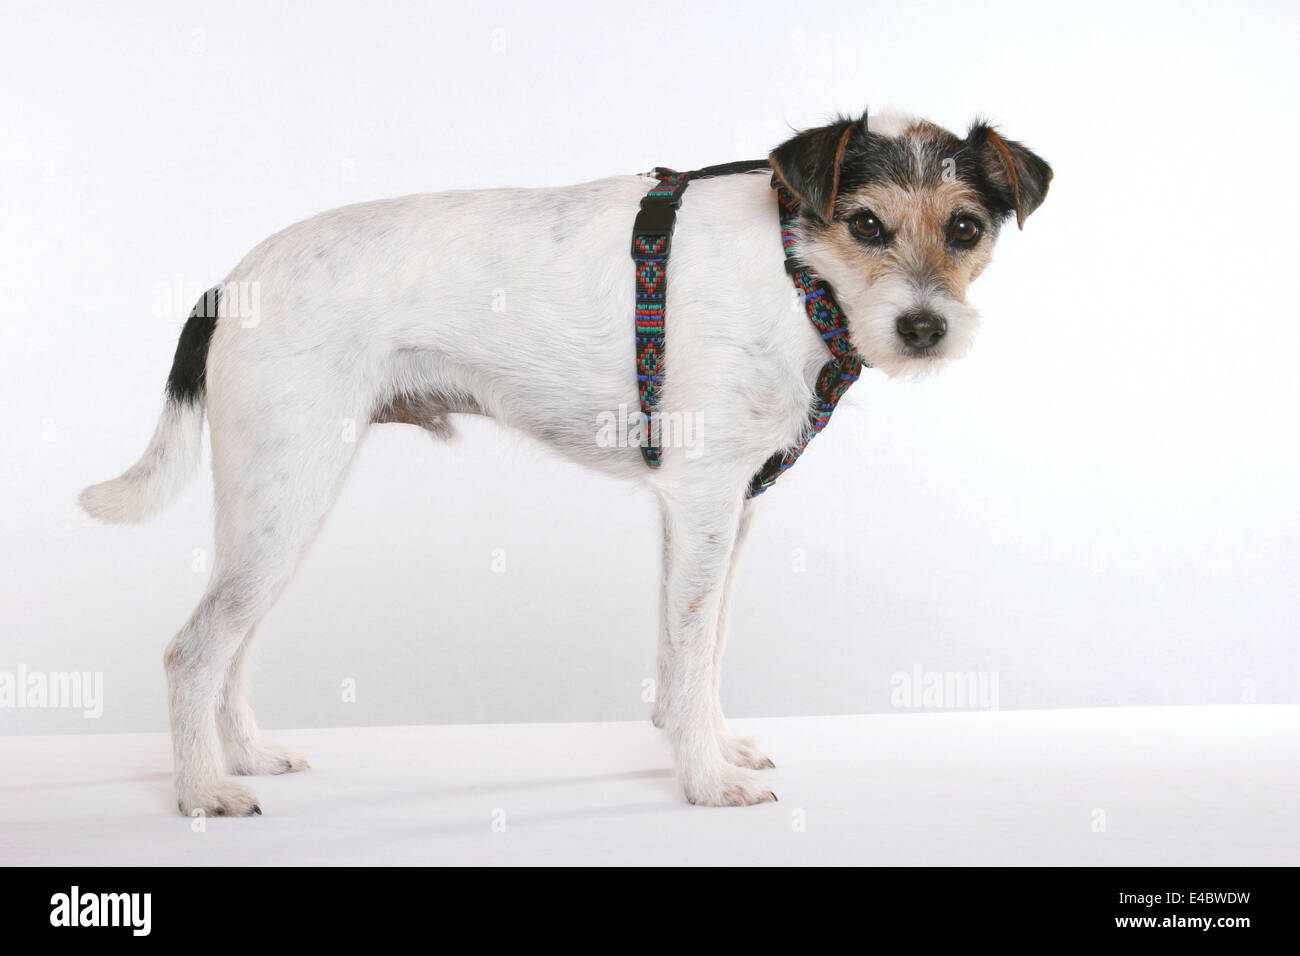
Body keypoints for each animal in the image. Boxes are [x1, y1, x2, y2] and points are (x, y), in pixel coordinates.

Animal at [81, 111, 1050, 816]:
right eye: (865, 223)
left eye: (965, 227)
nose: (924, 328)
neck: (793, 271)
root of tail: (226, 286)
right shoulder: (702, 499)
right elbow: (690, 653)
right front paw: (706, 780)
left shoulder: (728, 508)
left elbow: (703, 649)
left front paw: (712, 745)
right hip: (287, 497)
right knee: (192, 652)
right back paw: (201, 791)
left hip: (275, 507)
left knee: (231, 648)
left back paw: (245, 755)